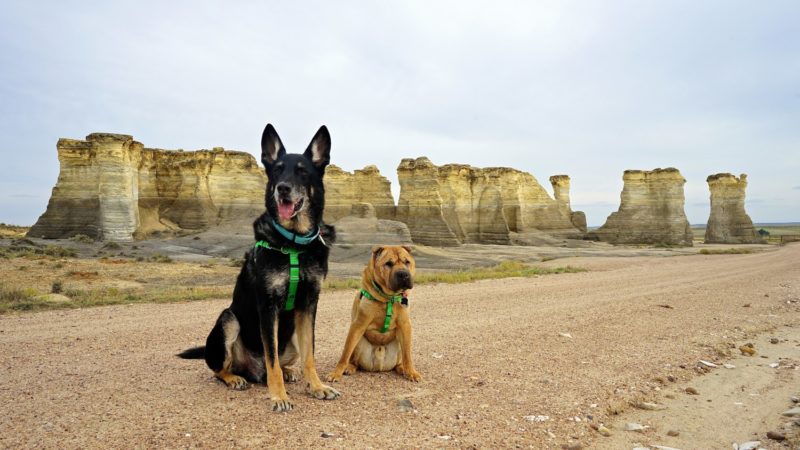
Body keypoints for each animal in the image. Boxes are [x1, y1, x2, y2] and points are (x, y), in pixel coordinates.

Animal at [178, 123, 340, 412]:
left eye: (302, 171)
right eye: (277, 170)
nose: (283, 189)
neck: (294, 243)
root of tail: (253, 371)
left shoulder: (309, 304)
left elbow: (310, 354)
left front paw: (317, 386)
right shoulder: (268, 305)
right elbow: (271, 357)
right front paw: (279, 397)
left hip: (291, 337)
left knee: (282, 362)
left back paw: (289, 372)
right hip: (228, 320)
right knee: (222, 369)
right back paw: (235, 378)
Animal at [326, 246, 424, 384]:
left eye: (407, 262)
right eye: (388, 263)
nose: (403, 274)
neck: (388, 298)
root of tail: (379, 366)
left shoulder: (405, 325)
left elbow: (408, 356)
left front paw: (411, 372)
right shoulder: (358, 325)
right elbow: (344, 355)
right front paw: (335, 373)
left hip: (399, 344)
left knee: (400, 360)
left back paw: (402, 369)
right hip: (359, 342)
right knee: (353, 359)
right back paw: (349, 367)